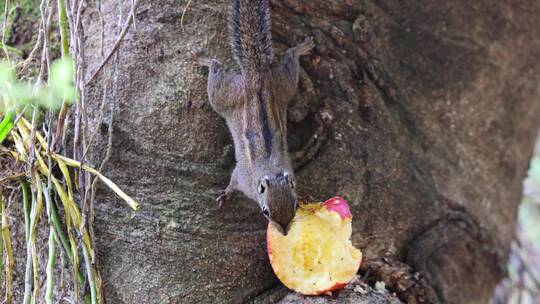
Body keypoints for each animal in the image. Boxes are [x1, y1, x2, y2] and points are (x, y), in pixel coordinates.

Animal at [193, 0, 312, 233]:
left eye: (294, 207)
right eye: (266, 212)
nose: (285, 232)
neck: (272, 170)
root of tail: (256, 75)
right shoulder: (242, 178)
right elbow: (232, 182)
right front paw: (226, 194)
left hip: (283, 84)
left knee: (291, 56)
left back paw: (303, 47)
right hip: (224, 94)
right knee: (216, 66)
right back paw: (202, 58)